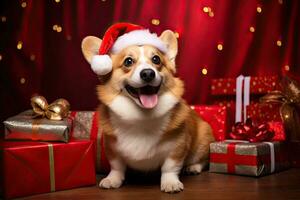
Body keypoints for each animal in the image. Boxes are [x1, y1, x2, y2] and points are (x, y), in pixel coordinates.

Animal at [81, 23, 214, 194]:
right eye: (128, 61)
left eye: (156, 59)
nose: (148, 73)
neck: (142, 116)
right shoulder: (112, 149)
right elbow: (117, 167)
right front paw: (112, 179)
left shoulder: (177, 148)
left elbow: (170, 168)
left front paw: (170, 183)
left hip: (203, 138)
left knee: (202, 161)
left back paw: (193, 168)